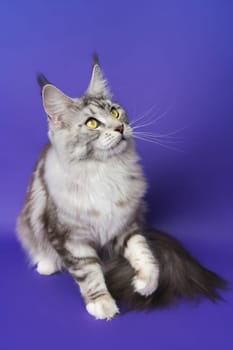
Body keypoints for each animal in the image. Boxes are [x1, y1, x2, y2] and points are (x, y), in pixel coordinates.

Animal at [16, 54, 228, 320]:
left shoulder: (124, 225)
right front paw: (102, 304)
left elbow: (143, 252)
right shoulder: (70, 237)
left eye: (115, 112)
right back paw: (47, 263)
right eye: (92, 123)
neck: (105, 172)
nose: (119, 128)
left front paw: (146, 284)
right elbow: (89, 273)